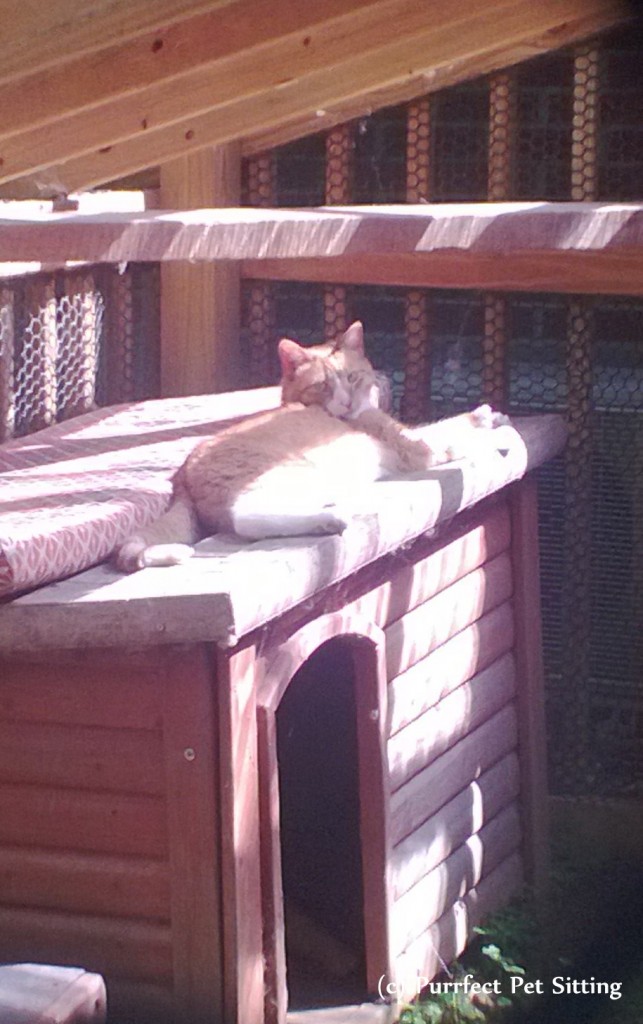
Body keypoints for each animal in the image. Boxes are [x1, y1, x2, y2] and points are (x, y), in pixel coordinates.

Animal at [114, 321, 507, 577]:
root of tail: (181, 476)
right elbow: (447, 433)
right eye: (322, 386)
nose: (346, 403)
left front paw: (491, 416)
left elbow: (448, 424)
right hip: (289, 473)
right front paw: (491, 429)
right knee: (246, 519)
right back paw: (329, 520)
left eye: (351, 377)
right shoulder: (418, 448)